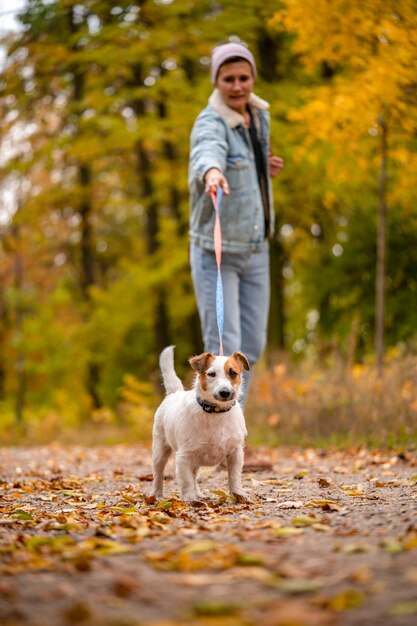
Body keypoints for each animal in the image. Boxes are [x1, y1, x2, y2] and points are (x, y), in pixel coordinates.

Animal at [150, 344, 250, 500]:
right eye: (211, 374)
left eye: (233, 373)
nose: (225, 392)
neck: (216, 412)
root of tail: (175, 393)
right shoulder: (184, 456)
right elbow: (186, 480)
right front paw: (190, 498)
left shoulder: (235, 453)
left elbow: (234, 476)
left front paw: (238, 494)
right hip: (160, 450)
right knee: (158, 473)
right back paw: (156, 495)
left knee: (194, 473)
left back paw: (199, 494)